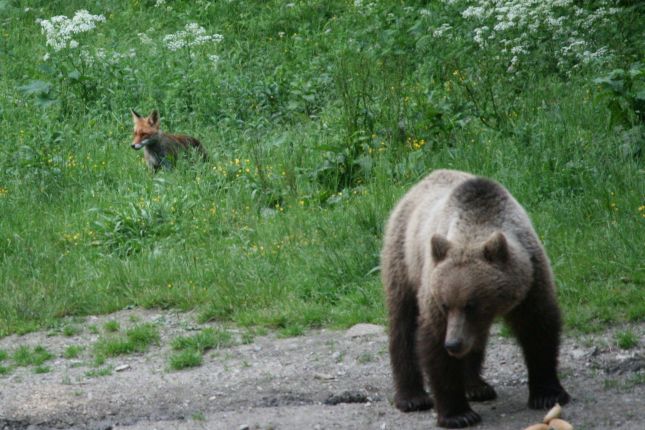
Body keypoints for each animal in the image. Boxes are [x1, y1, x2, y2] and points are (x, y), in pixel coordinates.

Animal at [382, 170, 568, 428]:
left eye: (471, 304)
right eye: (445, 304)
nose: (453, 344)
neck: (475, 227)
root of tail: (421, 181)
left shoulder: (532, 276)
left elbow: (538, 327)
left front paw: (547, 393)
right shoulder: (433, 288)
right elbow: (433, 342)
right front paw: (458, 414)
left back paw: (476, 386)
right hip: (404, 259)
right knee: (403, 323)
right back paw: (412, 397)